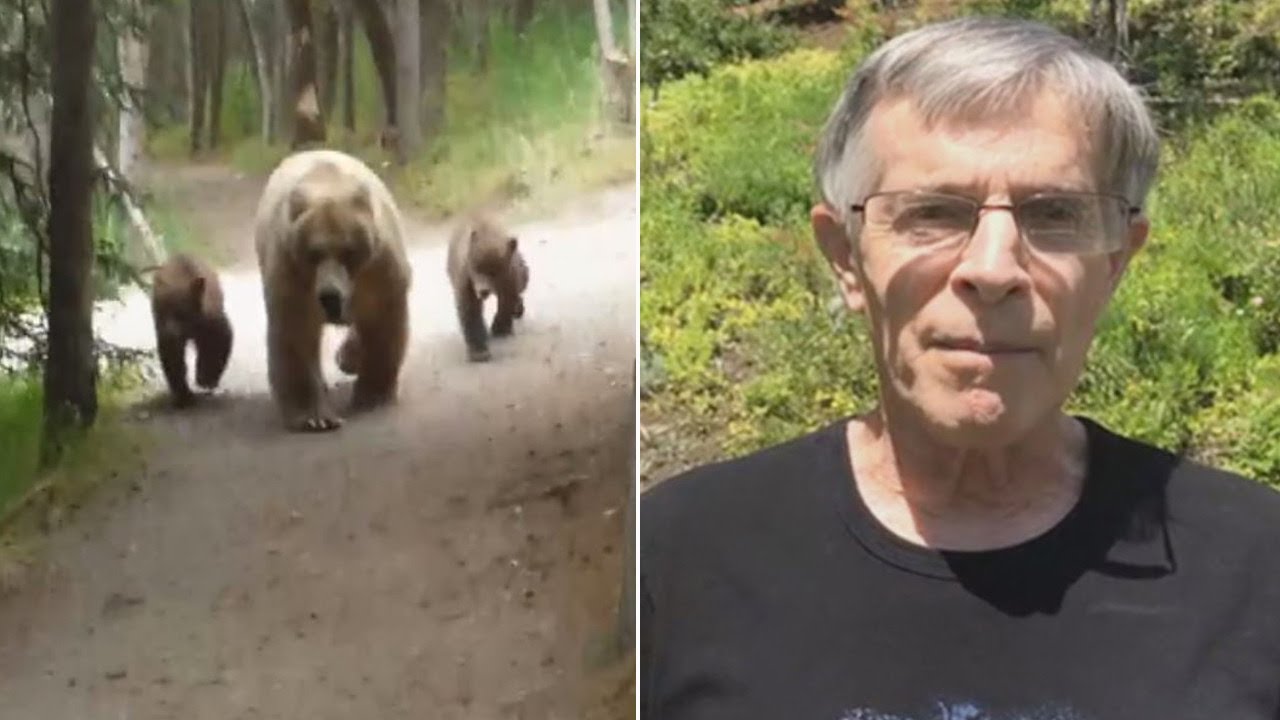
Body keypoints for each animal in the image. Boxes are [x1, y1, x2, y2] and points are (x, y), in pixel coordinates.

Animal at [146, 253, 234, 407]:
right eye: (161, 311)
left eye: (181, 312)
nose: (170, 333)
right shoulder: (165, 331)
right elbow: (173, 358)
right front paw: (184, 396)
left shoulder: (211, 320)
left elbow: (219, 341)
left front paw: (206, 378)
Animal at [252, 149, 412, 433]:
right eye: (314, 253)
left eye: (348, 251)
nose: (330, 295)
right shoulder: (292, 272)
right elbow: (296, 334)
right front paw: (315, 417)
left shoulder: (379, 268)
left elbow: (382, 323)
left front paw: (373, 395)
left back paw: (348, 357)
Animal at [445, 213, 530, 362]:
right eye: (477, 267)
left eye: (494, 271)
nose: (484, 290)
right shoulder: (467, 277)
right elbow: (470, 308)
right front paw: (479, 352)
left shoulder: (508, 274)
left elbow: (507, 299)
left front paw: (500, 329)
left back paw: (517, 309)